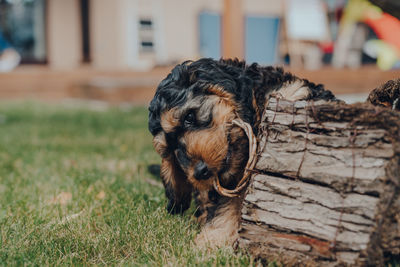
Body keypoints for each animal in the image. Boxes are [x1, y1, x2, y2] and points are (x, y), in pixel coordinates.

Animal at [148, 57, 336, 248]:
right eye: (172, 151)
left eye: (189, 117)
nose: (200, 172)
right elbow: (226, 203)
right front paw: (212, 241)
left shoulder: (294, 91)